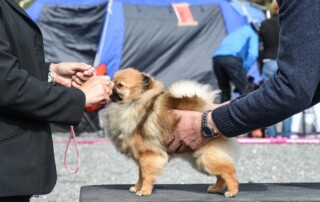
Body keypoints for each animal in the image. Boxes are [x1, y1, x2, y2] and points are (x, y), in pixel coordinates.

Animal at [104, 67, 239, 197]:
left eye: (120, 85)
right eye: (112, 81)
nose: (109, 85)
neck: (133, 103)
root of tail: (208, 107)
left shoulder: (149, 155)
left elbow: (146, 175)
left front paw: (144, 191)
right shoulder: (142, 157)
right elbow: (140, 175)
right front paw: (137, 187)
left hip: (205, 156)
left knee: (228, 170)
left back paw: (232, 191)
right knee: (221, 174)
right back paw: (216, 188)